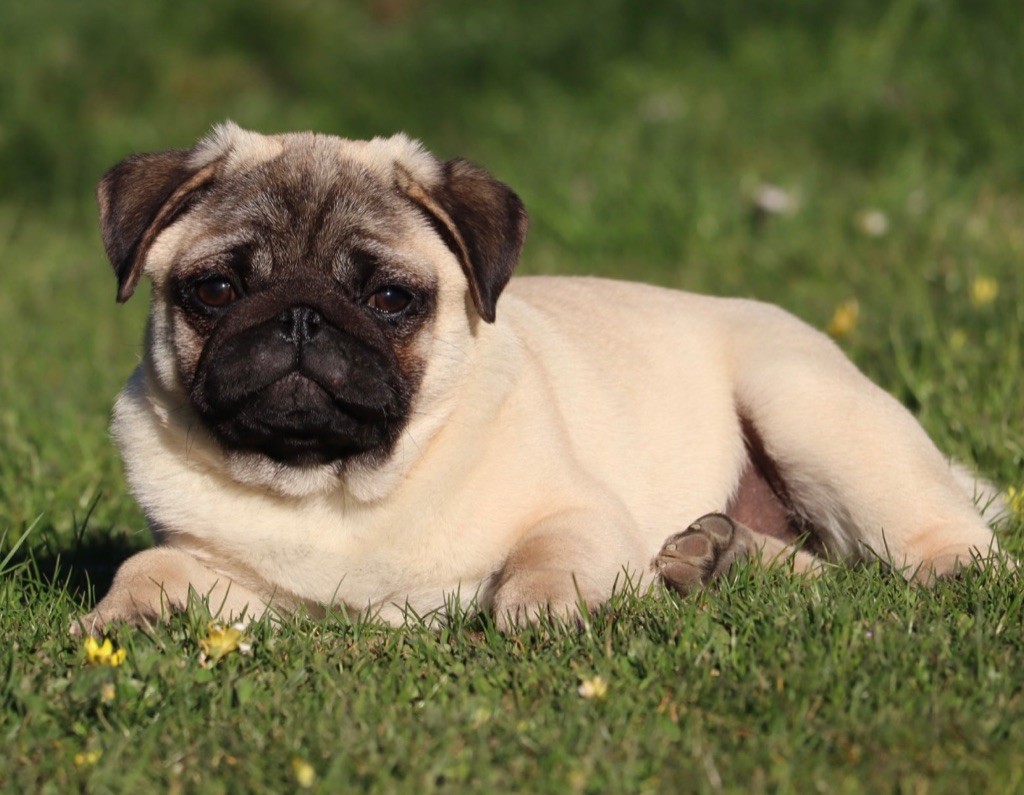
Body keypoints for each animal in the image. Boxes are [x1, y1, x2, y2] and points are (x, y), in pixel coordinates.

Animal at [75, 122, 1003, 635]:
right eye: (215, 290)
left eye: (389, 299)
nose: (300, 317)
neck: (332, 492)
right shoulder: (218, 568)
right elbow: (148, 568)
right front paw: (125, 619)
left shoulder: (580, 512)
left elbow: (550, 555)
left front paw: (544, 606)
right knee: (822, 572)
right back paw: (714, 557)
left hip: (808, 410)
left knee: (945, 545)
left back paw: (947, 572)